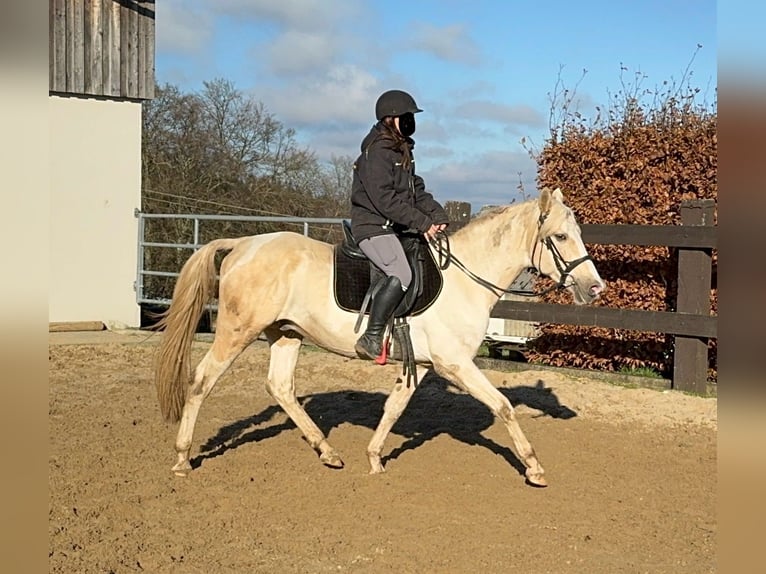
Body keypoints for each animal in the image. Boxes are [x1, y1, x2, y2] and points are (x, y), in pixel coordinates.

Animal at [154, 188, 608, 486]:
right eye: (561, 237)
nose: (595, 288)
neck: (464, 279)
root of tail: (244, 243)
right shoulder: (455, 363)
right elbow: (504, 406)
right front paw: (534, 467)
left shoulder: (420, 365)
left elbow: (394, 408)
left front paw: (373, 458)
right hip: (237, 331)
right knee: (201, 381)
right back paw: (181, 458)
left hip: (285, 334)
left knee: (281, 387)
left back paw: (328, 452)